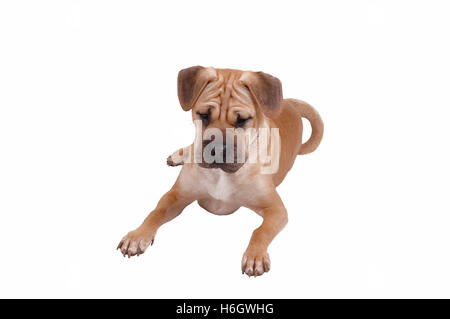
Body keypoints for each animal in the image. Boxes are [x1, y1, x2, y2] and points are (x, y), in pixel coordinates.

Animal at [118, 66, 324, 276]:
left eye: (242, 120)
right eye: (203, 115)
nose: (217, 149)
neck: (221, 175)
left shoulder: (276, 209)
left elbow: (261, 231)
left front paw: (255, 255)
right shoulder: (176, 195)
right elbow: (156, 212)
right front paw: (138, 235)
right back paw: (180, 154)